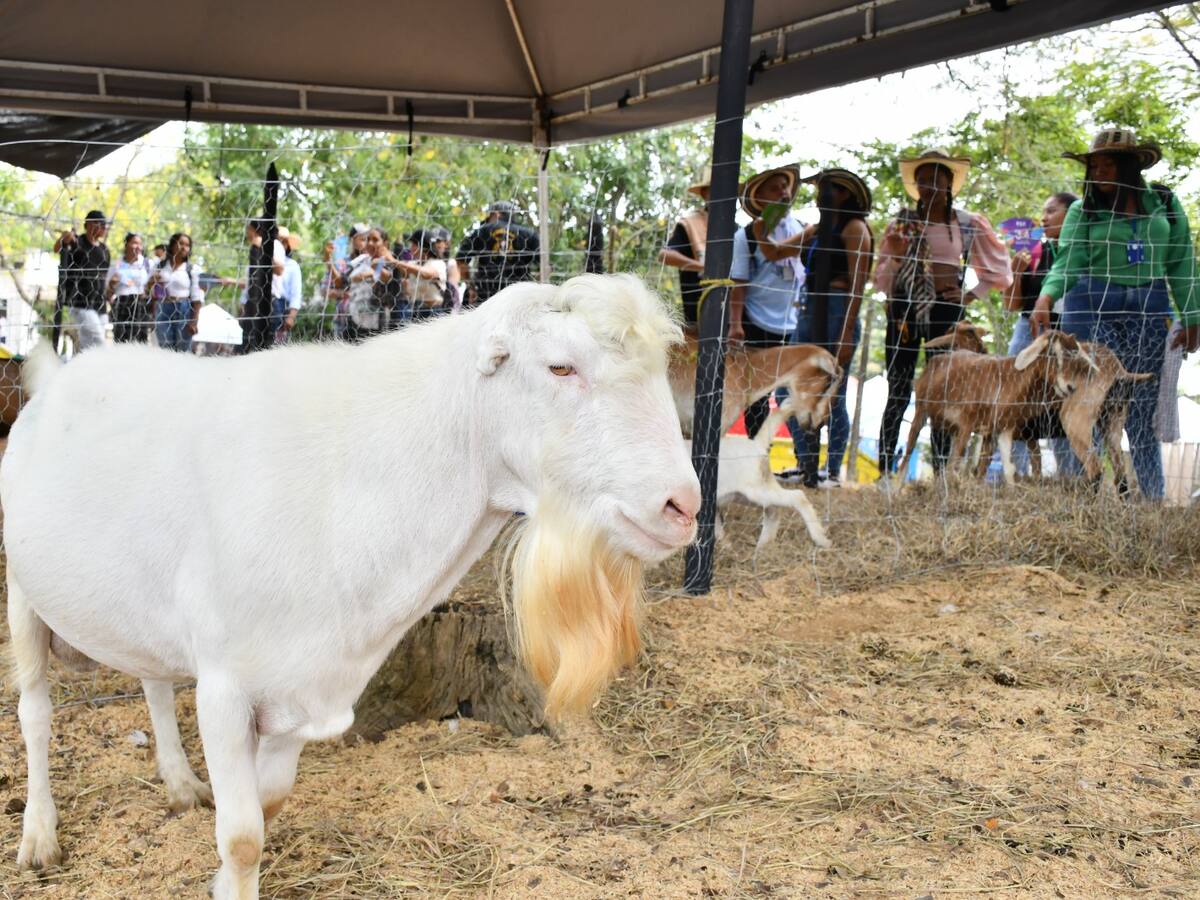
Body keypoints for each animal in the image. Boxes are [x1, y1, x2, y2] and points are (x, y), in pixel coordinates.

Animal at [2, 274, 701, 898]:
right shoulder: (226, 688)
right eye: (560, 368)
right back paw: (39, 835)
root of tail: (57, 378)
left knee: (151, 680)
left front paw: (220, 874)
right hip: (21, 590)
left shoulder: (301, 688)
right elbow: (243, 837)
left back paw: (179, 784)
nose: (682, 506)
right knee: (35, 713)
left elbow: (269, 807)